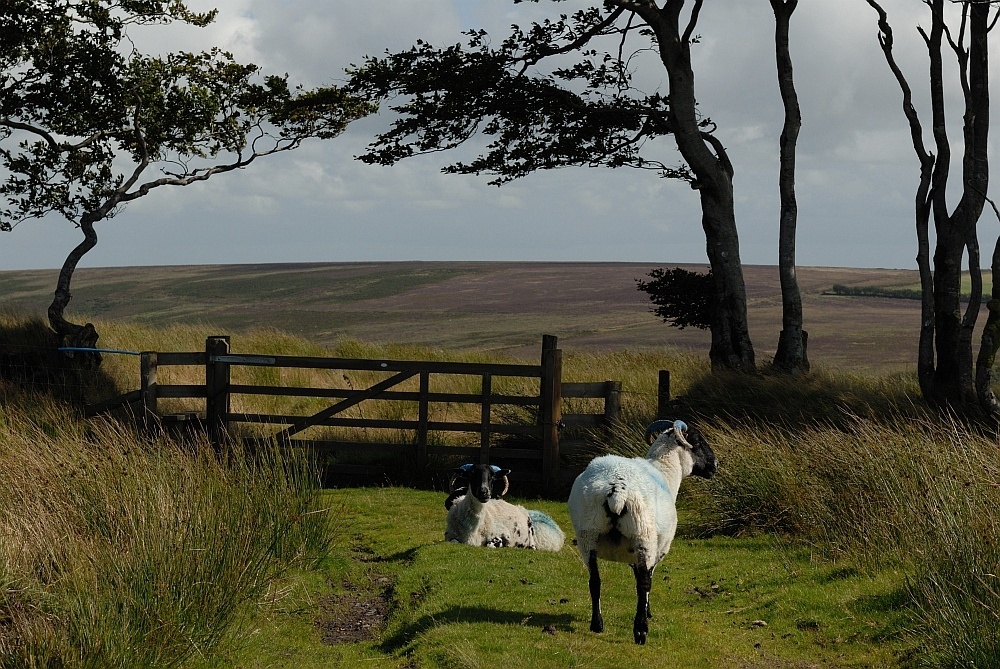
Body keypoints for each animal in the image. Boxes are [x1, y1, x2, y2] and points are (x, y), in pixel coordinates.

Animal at [568, 420, 716, 644]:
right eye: (697, 441)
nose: (715, 465)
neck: (665, 472)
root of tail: (616, 490)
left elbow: (637, 576)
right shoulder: (658, 549)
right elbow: (647, 580)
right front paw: (647, 612)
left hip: (587, 535)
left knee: (595, 581)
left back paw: (597, 625)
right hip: (643, 535)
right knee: (644, 584)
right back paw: (640, 631)